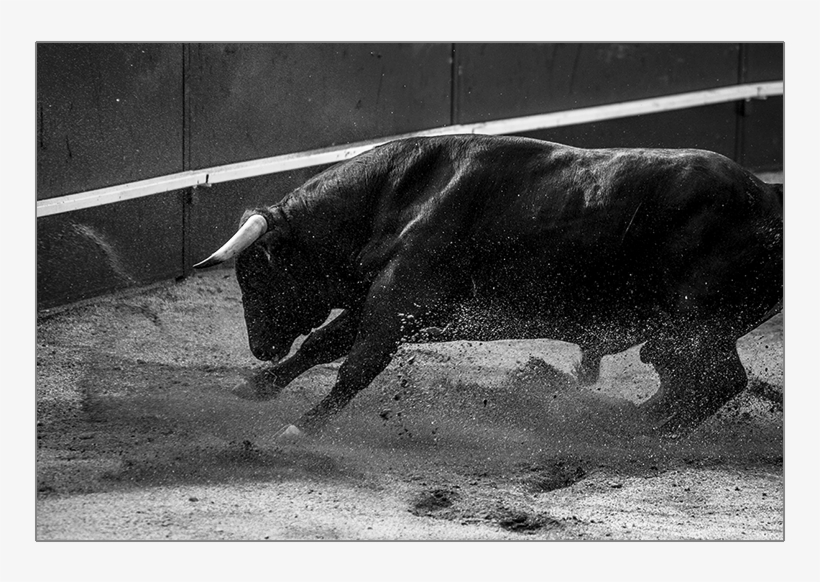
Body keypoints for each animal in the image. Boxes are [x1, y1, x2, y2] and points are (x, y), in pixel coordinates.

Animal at [194, 134, 783, 438]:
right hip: (682, 333)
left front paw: (304, 427)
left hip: (694, 326)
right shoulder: (385, 300)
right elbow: (323, 345)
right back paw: (628, 421)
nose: (258, 346)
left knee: (716, 380)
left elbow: (357, 363)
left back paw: (638, 433)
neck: (398, 197)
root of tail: (770, 202)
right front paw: (254, 387)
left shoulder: (399, 300)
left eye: (257, 272)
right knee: (690, 383)